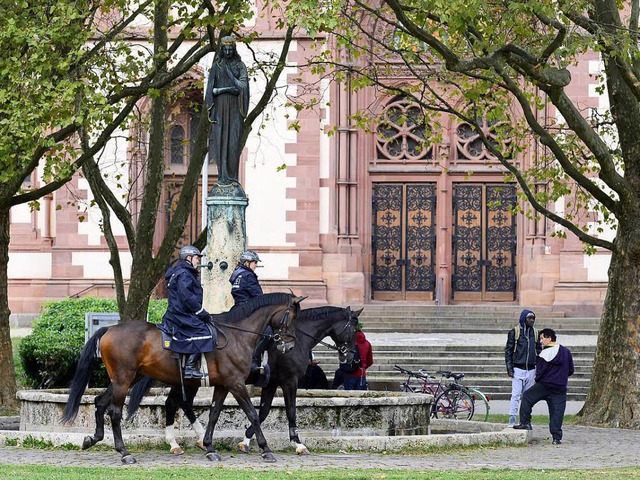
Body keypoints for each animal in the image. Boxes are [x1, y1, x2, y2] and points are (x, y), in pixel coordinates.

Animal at [61, 292, 306, 464]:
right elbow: (253, 414)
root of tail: (110, 328)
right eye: (293, 317)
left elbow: (214, 414)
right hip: (123, 380)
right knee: (115, 412)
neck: (237, 334)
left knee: (100, 402)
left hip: (127, 379)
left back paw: (93, 439)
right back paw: (124, 452)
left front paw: (209, 447)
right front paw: (266, 449)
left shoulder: (224, 385)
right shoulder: (236, 384)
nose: (290, 346)